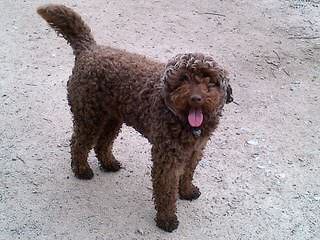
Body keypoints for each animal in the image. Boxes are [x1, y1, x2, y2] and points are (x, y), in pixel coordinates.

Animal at [37, 3, 232, 232]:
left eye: (210, 81)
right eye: (183, 78)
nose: (196, 98)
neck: (181, 118)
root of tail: (89, 49)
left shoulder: (195, 150)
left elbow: (187, 173)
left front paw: (186, 191)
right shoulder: (167, 156)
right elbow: (166, 190)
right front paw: (167, 219)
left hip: (112, 118)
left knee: (102, 144)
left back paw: (109, 163)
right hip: (89, 117)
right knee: (79, 143)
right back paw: (82, 170)